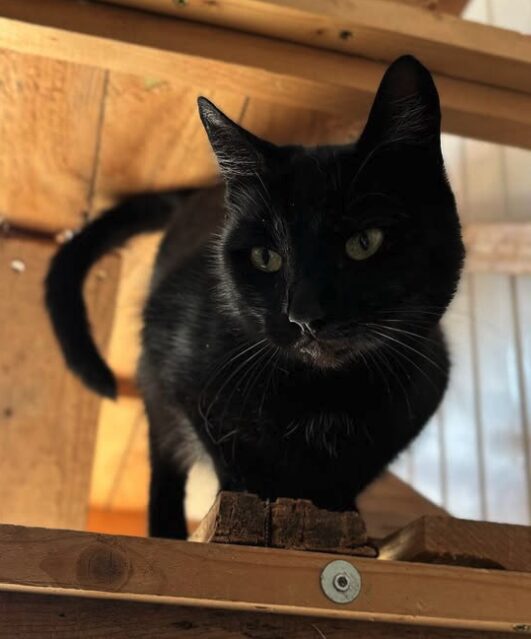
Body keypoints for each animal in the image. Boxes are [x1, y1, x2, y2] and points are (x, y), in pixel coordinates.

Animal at [46, 56, 466, 540]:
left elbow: (355, 471)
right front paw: (254, 497)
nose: (304, 316)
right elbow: (229, 454)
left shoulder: (424, 386)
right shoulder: (182, 375)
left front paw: (337, 508)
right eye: (266, 257)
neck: (323, 397)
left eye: (365, 242)